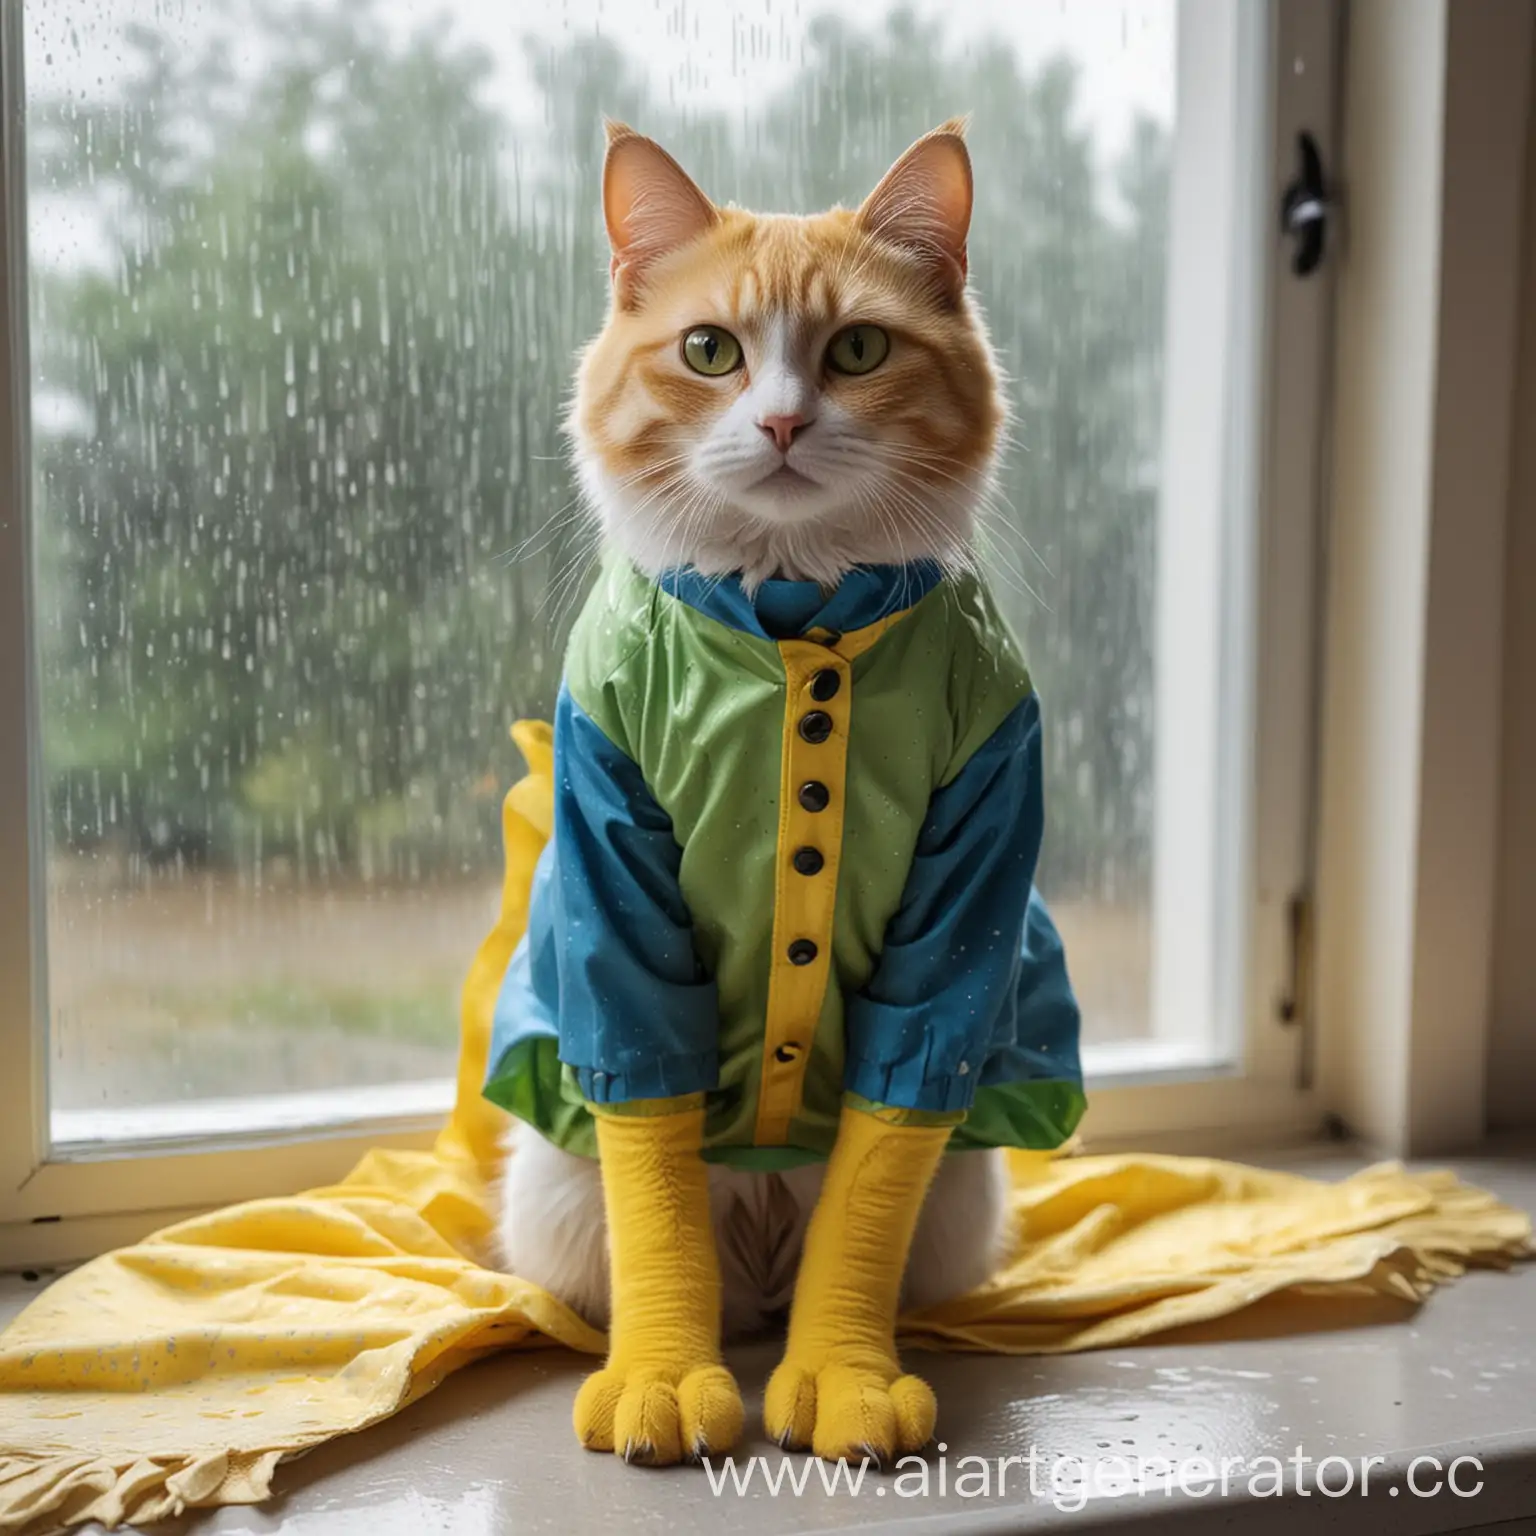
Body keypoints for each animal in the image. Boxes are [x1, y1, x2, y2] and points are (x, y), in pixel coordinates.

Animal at [485, 116, 1087, 1462]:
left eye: (858, 349)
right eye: (710, 351)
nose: (779, 427)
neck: (795, 615)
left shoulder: (966, 901)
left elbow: (874, 1180)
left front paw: (845, 1374)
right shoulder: (615, 878)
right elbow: (654, 1180)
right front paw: (664, 1375)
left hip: (961, 1202)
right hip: (559, 1198)